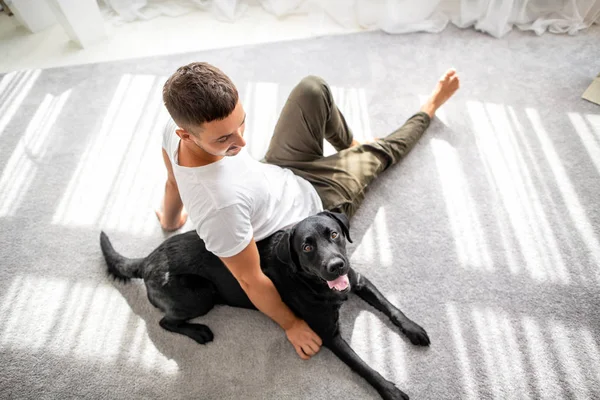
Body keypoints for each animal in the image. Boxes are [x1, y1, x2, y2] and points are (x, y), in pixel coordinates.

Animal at [101, 211, 428, 398]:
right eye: (306, 246)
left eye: (334, 234)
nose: (336, 266)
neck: (314, 283)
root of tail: (147, 259)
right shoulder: (329, 335)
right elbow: (363, 367)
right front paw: (390, 390)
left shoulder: (359, 281)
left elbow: (392, 308)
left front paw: (414, 330)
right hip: (202, 295)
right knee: (164, 321)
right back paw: (199, 332)